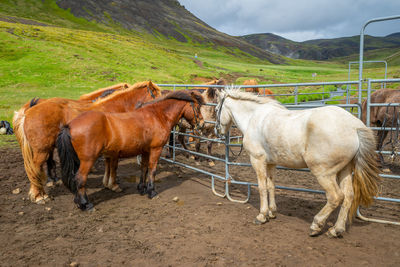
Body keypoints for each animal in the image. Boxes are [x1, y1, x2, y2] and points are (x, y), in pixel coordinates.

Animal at [13, 80, 162, 204]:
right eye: (156, 95)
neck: (114, 109)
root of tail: (27, 113)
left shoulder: (108, 150)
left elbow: (108, 165)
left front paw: (107, 183)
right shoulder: (115, 150)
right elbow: (113, 166)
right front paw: (114, 185)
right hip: (41, 151)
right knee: (35, 170)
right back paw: (39, 196)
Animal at [216, 88, 382, 239]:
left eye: (217, 109)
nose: (218, 132)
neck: (253, 118)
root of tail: (354, 126)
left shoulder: (257, 160)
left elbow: (262, 187)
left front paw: (262, 216)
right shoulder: (271, 163)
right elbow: (271, 186)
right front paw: (272, 212)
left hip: (324, 173)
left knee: (335, 197)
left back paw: (316, 225)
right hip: (345, 170)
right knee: (348, 197)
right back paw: (336, 230)